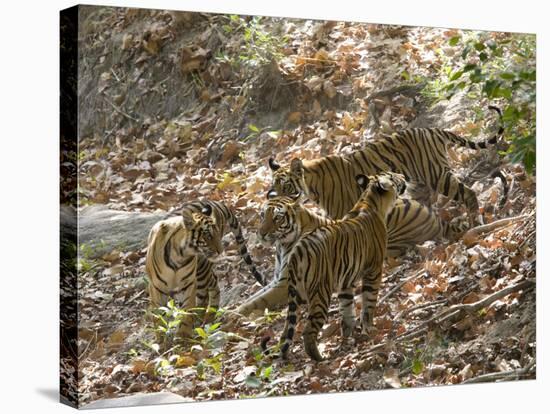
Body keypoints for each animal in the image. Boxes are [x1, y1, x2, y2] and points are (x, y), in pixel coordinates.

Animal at [146, 201, 266, 336]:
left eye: (217, 233)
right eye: (207, 236)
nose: (221, 250)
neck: (179, 255)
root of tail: (215, 202)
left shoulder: (188, 284)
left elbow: (186, 311)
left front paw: (183, 335)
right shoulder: (156, 287)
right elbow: (158, 315)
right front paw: (162, 338)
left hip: (201, 271)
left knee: (207, 292)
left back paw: (204, 318)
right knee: (212, 281)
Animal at [235, 191, 468, 316]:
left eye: (277, 218)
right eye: (263, 215)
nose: (261, 233)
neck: (282, 246)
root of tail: (434, 215)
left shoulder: (285, 284)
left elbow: (254, 303)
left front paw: (231, 318)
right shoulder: (276, 280)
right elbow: (252, 298)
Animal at [270, 106, 506, 223]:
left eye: (286, 187)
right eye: (274, 187)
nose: (275, 199)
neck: (311, 187)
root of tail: (432, 130)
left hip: (437, 175)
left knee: (469, 193)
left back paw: (476, 222)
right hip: (418, 185)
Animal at [276, 171, 410, 360]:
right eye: (392, 176)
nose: (403, 175)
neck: (370, 200)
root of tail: (297, 251)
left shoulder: (346, 280)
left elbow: (347, 309)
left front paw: (350, 333)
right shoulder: (374, 270)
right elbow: (369, 302)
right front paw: (369, 329)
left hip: (297, 294)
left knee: (286, 330)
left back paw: (283, 355)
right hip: (320, 292)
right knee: (308, 330)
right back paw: (318, 357)